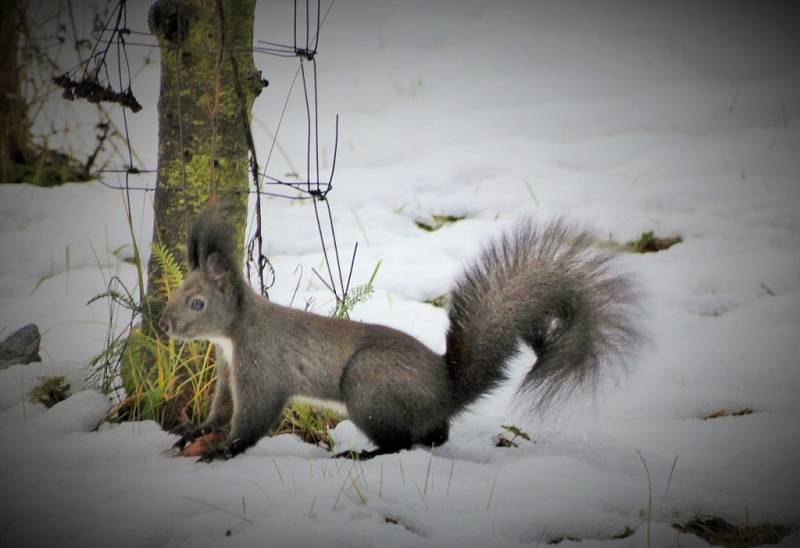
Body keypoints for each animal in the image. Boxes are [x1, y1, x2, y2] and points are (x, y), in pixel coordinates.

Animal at [164, 208, 644, 460]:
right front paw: (196, 433)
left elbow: (253, 418)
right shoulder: (229, 371)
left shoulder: (261, 368)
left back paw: (363, 454)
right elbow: (222, 410)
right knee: (434, 436)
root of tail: (446, 391)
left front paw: (222, 451)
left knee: (400, 443)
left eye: (197, 303)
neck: (232, 336)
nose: (164, 323)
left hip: (368, 384)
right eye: (177, 292)